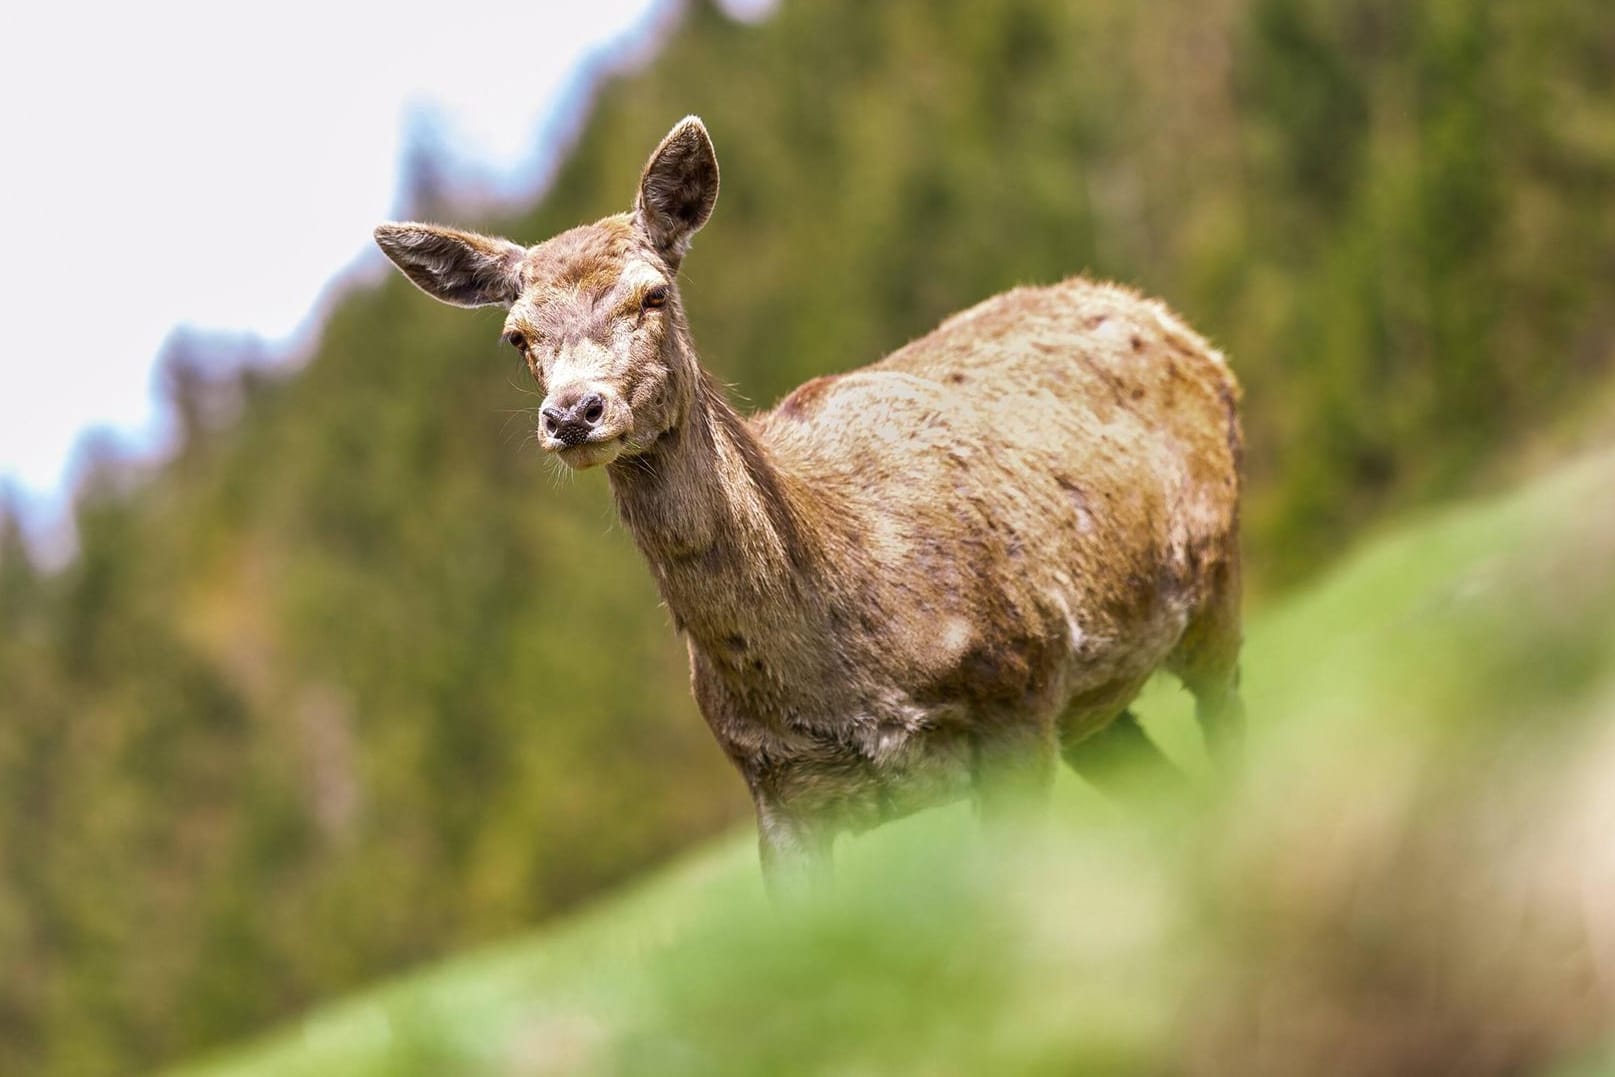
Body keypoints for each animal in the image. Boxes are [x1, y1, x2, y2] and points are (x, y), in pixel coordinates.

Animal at [377, 113, 1246, 897]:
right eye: (517, 336)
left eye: (651, 294)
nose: (572, 413)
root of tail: (1168, 321)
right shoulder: (777, 790)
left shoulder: (1016, 687)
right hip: (1092, 707)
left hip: (1210, 577)